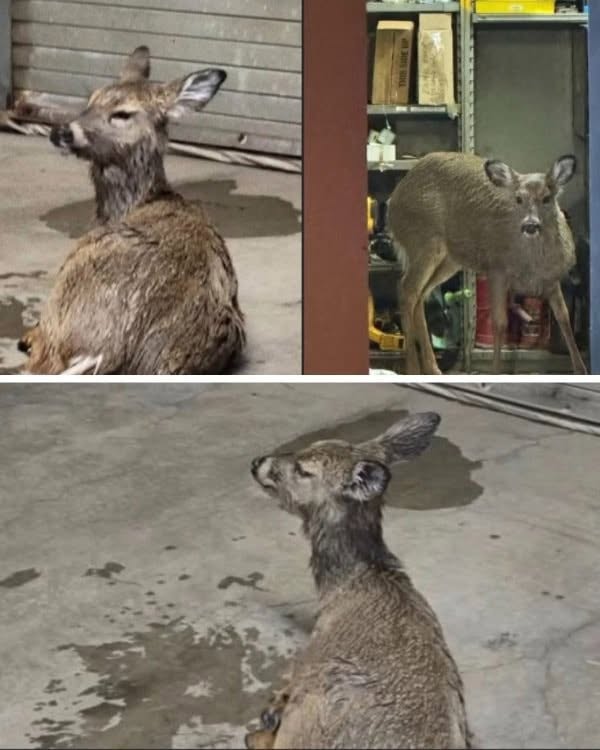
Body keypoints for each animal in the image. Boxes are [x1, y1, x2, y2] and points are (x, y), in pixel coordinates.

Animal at [387, 151, 587, 375]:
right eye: (518, 199)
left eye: (547, 198)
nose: (530, 225)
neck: (531, 265)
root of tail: (393, 200)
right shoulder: (497, 270)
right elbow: (499, 323)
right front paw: (496, 372)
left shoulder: (551, 279)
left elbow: (564, 318)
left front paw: (582, 370)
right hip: (424, 241)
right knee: (406, 289)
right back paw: (413, 368)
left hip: (450, 259)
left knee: (421, 294)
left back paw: (432, 368)